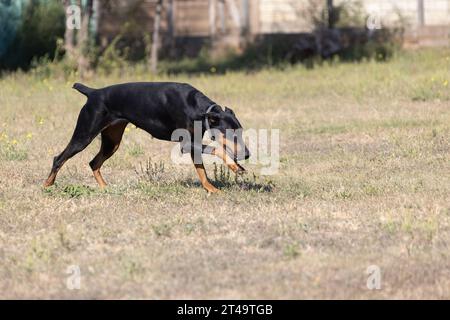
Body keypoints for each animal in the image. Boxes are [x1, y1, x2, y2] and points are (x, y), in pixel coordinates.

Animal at [43, 82, 250, 192]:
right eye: (231, 133)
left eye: (240, 131)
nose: (247, 154)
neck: (198, 108)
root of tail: (93, 92)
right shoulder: (187, 143)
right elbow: (218, 150)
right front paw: (235, 167)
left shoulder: (194, 143)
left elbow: (202, 172)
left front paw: (212, 189)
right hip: (84, 135)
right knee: (59, 158)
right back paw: (47, 185)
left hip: (112, 141)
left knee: (94, 162)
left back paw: (105, 187)